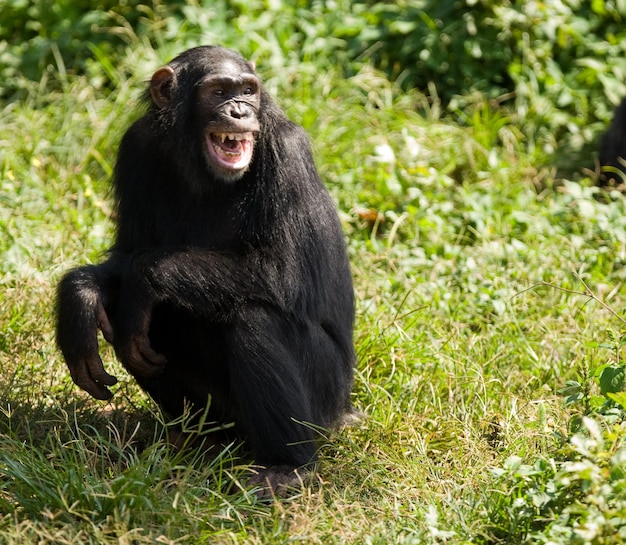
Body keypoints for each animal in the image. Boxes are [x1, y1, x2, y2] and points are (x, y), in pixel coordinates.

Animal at [54, 45, 356, 492]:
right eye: (218, 92)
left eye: (247, 90)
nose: (239, 111)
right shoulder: (136, 146)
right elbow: (128, 250)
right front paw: (79, 297)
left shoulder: (289, 153)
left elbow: (284, 271)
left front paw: (144, 278)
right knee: (137, 325)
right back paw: (195, 440)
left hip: (325, 400)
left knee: (253, 321)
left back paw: (287, 466)